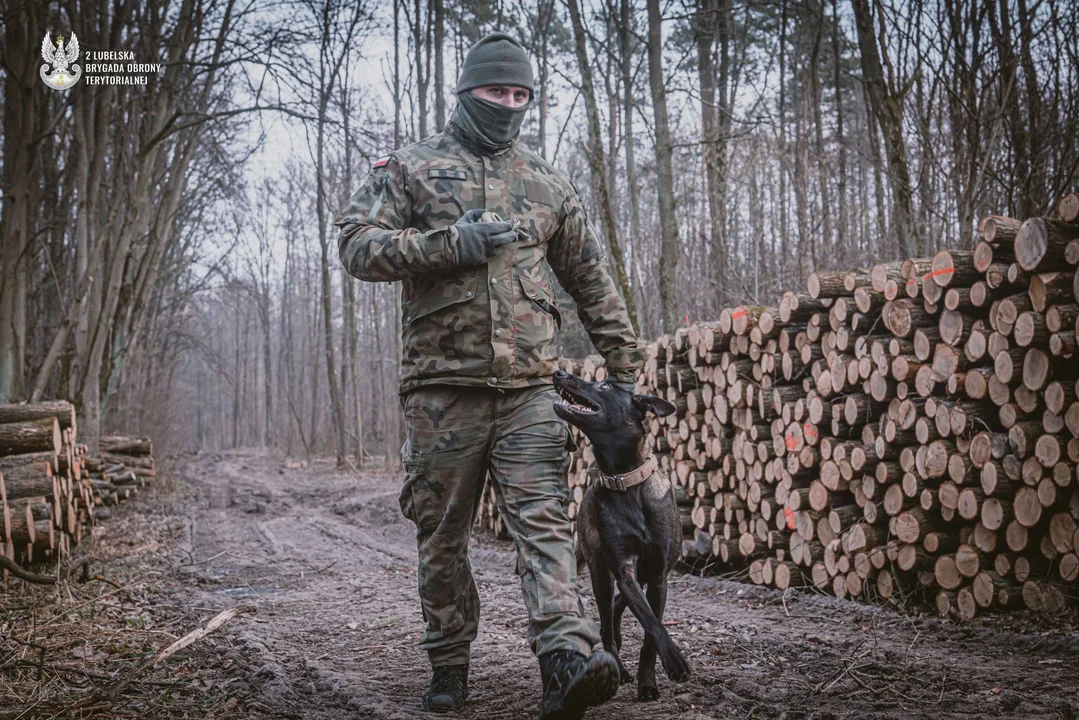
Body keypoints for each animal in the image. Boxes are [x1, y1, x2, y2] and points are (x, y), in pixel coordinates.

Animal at [552, 371, 694, 703]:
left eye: (604, 386)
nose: (559, 373)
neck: (625, 482)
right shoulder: (625, 567)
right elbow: (652, 623)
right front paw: (674, 661)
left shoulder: (657, 576)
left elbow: (650, 632)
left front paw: (649, 683)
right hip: (600, 572)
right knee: (606, 619)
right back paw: (616, 665)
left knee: (618, 606)